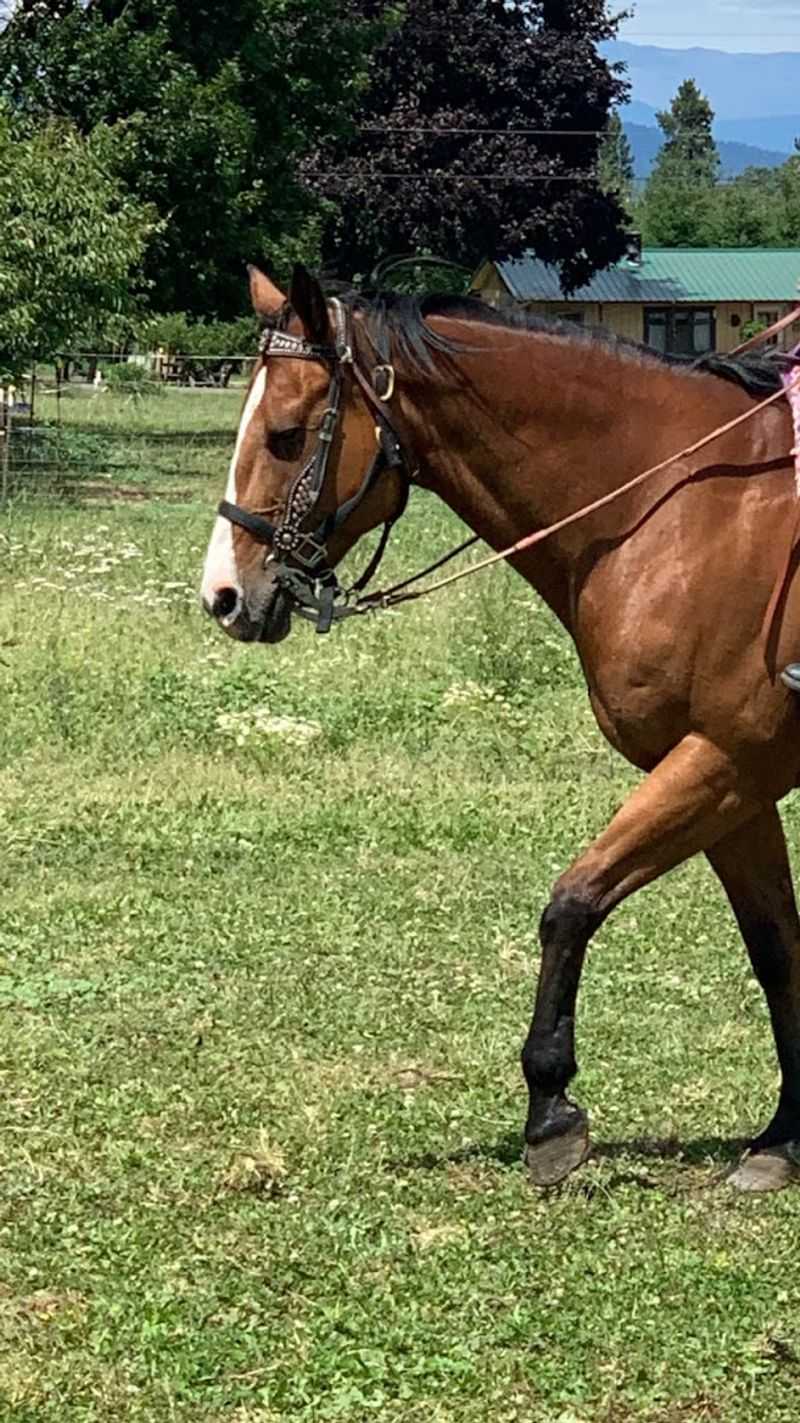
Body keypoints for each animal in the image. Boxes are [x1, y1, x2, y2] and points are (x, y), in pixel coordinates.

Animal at [201, 262, 800, 1193]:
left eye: (288, 437)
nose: (223, 595)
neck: (692, 513)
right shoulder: (735, 779)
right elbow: (777, 950)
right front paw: (784, 1137)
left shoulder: (728, 760)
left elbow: (572, 902)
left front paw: (550, 1112)